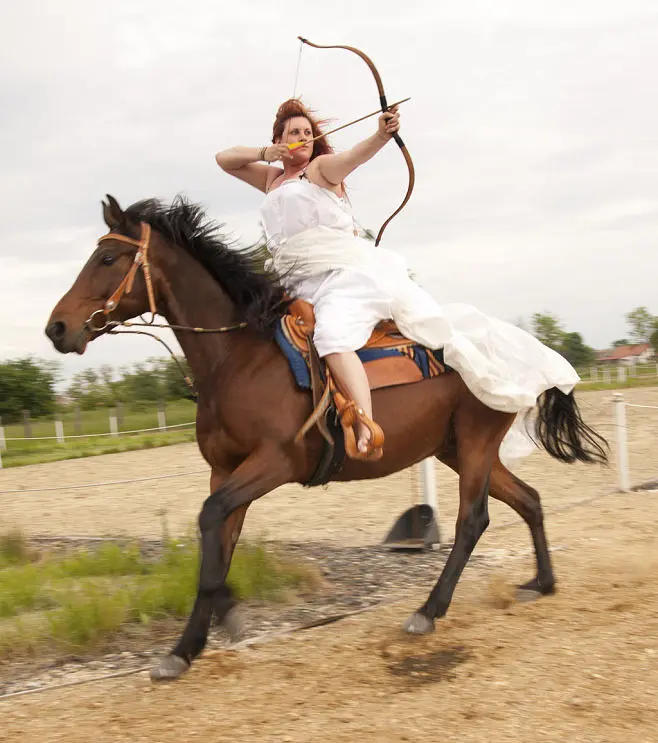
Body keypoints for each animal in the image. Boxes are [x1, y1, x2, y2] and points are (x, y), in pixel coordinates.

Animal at [46, 196, 608, 680]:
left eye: (107, 257)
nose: (57, 328)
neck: (238, 359)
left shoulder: (274, 462)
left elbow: (210, 522)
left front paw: (223, 616)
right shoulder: (224, 470)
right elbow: (218, 538)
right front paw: (187, 647)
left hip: (474, 444)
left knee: (473, 520)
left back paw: (429, 610)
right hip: (457, 449)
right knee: (529, 500)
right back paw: (542, 582)